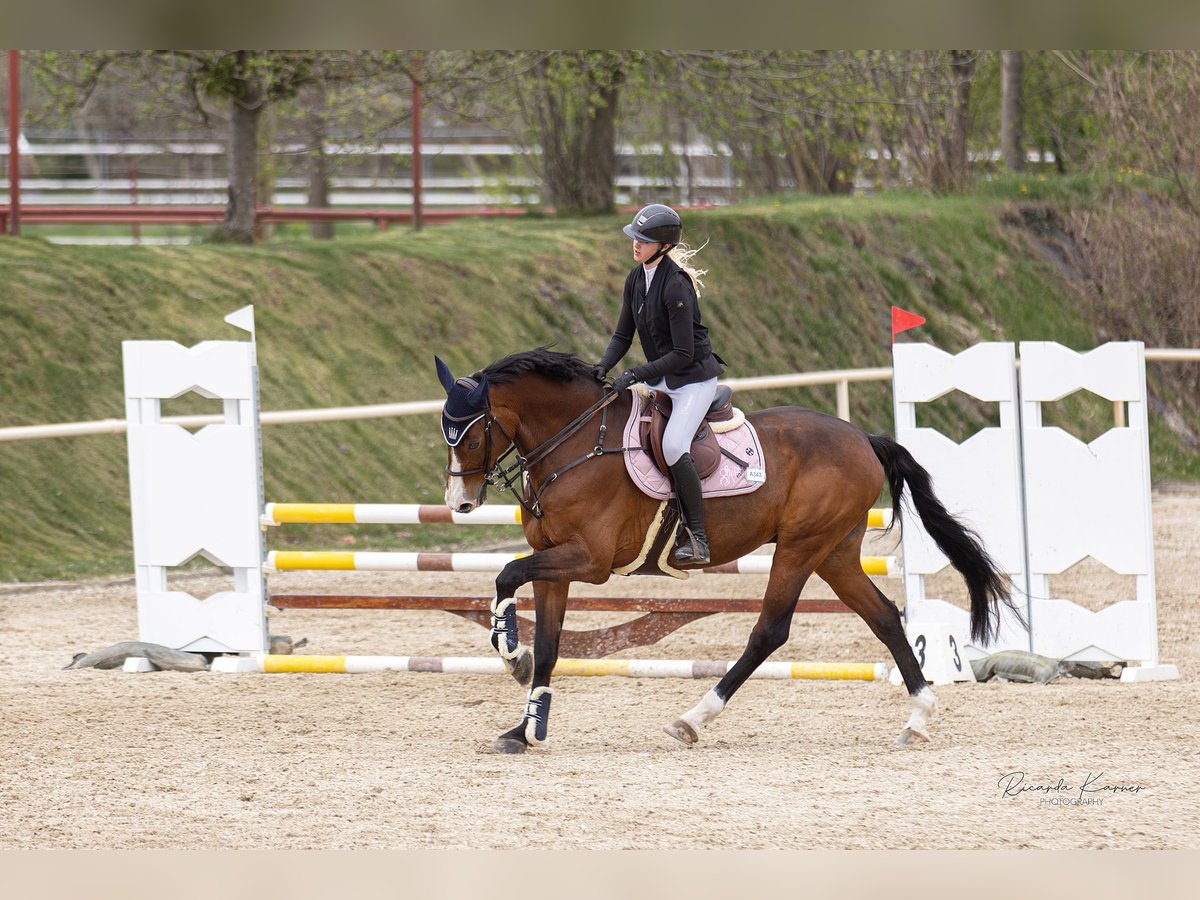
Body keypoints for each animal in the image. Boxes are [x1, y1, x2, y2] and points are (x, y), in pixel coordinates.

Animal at [434, 348, 1012, 758]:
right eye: (447, 435)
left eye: (471, 435)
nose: (461, 502)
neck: (575, 443)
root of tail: (863, 439)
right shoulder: (556, 563)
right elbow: (550, 644)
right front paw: (525, 728)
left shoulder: (589, 561)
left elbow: (505, 576)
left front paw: (511, 651)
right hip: (835, 554)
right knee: (886, 618)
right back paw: (918, 719)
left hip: (800, 547)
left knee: (770, 630)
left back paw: (692, 720)